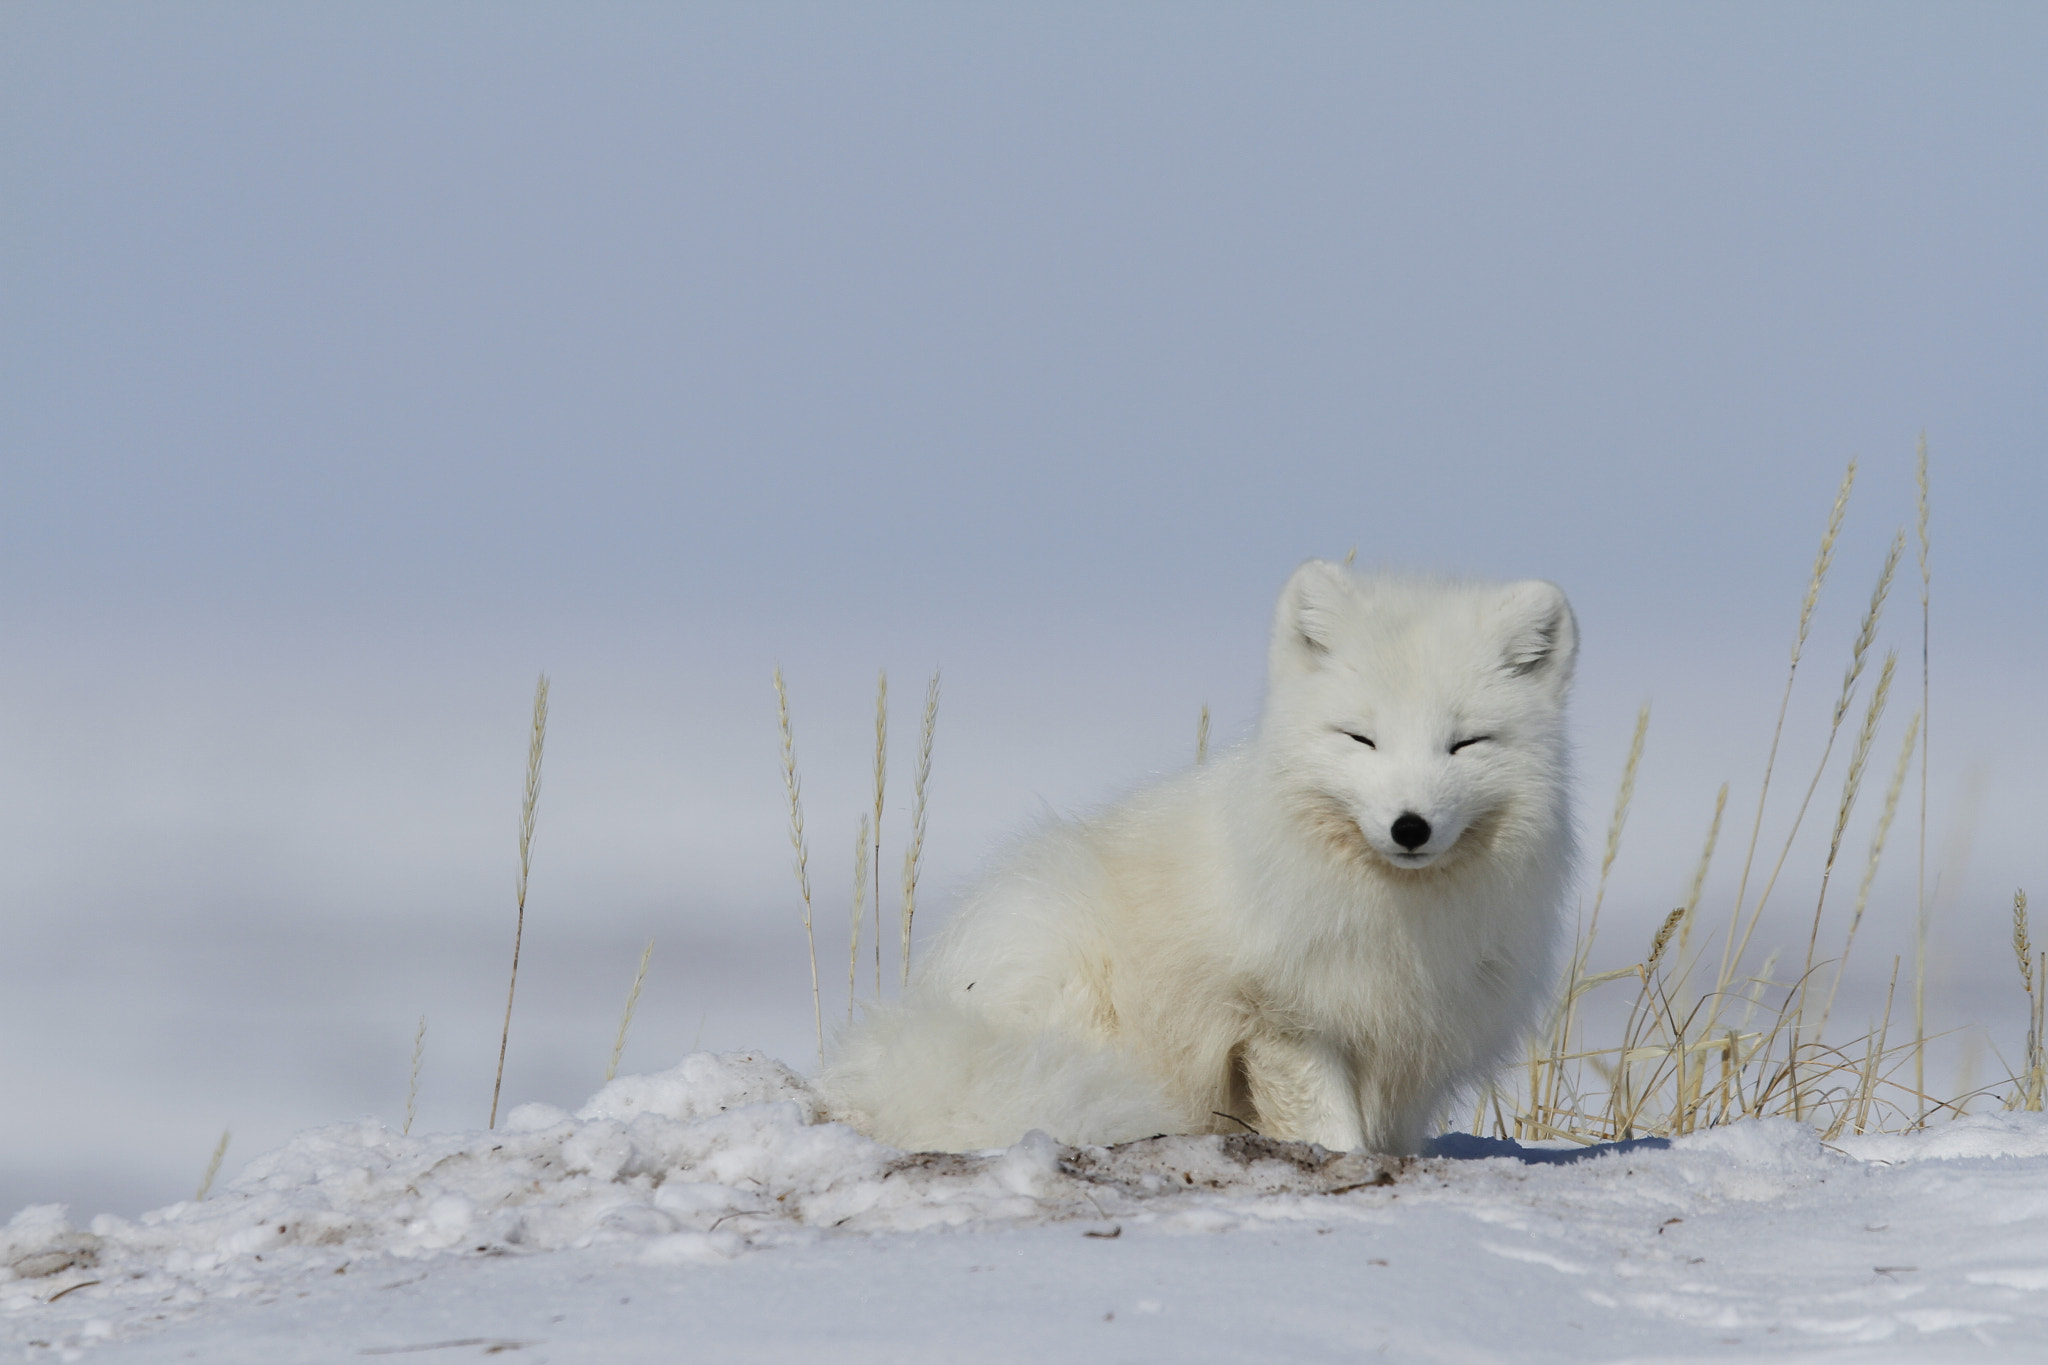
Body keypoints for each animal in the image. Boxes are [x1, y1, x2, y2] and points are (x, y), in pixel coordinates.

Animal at [823, 564, 1572, 1154]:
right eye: (1361, 738)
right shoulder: (1281, 1018)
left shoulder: (1414, 1037)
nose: (1409, 826)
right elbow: (1332, 1128)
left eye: (1466, 743)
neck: (1397, 915)